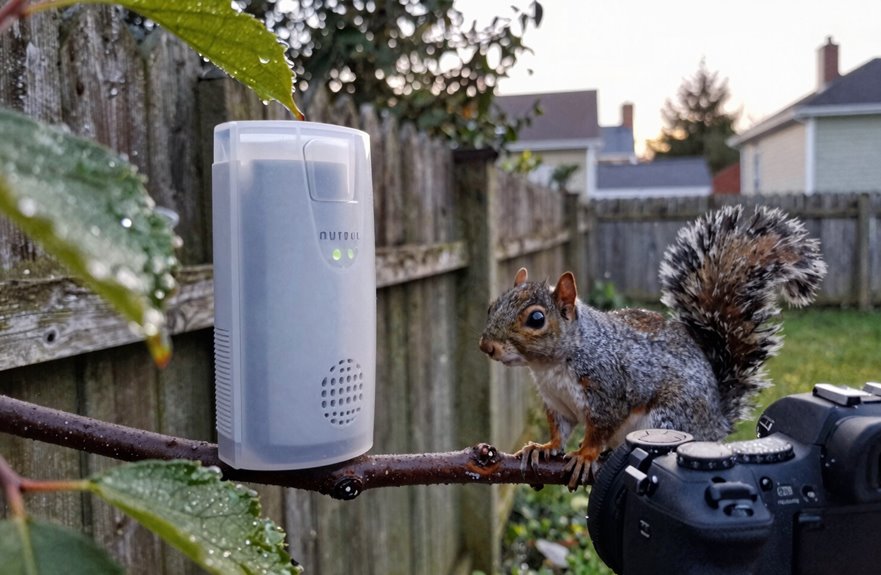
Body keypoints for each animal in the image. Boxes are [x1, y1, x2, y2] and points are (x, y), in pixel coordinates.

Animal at [479, 205, 827, 490]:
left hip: (667, 417)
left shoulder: (608, 391)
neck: (550, 366)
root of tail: (716, 423)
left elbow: (599, 428)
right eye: (492, 306)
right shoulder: (556, 402)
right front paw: (543, 448)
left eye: (537, 318)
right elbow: (560, 430)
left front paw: (586, 455)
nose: (486, 346)